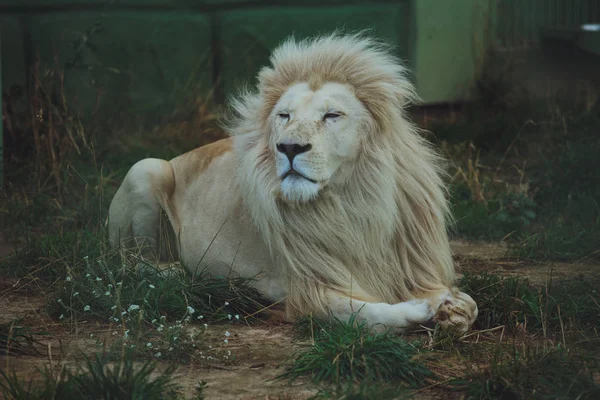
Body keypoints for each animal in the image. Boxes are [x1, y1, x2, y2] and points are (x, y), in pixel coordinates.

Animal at [109, 32, 478, 332]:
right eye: (284, 116)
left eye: (332, 115)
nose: (288, 147)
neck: (354, 205)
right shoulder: (302, 287)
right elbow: (362, 314)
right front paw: (421, 309)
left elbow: (470, 304)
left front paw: (453, 308)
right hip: (146, 168)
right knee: (132, 264)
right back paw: (180, 272)